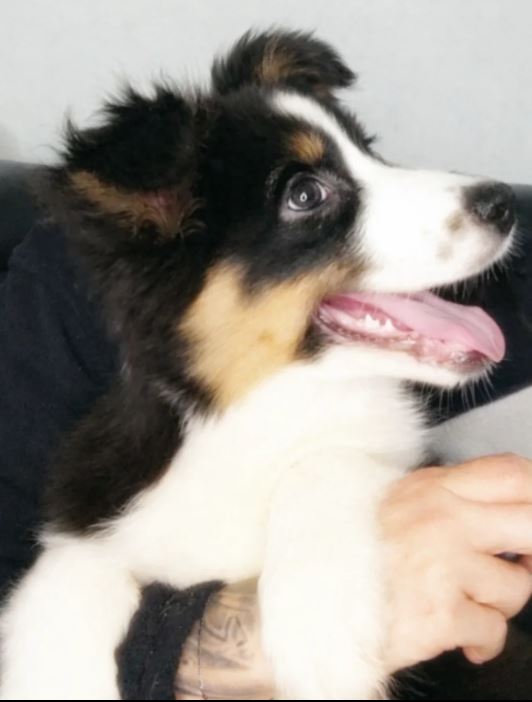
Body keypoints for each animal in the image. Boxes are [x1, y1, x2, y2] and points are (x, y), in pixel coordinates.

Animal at [0, 29, 516, 699]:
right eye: (305, 194)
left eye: (370, 151)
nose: (505, 202)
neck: (257, 407)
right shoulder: (103, 498)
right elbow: (63, 568)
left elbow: (324, 462)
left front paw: (324, 637)